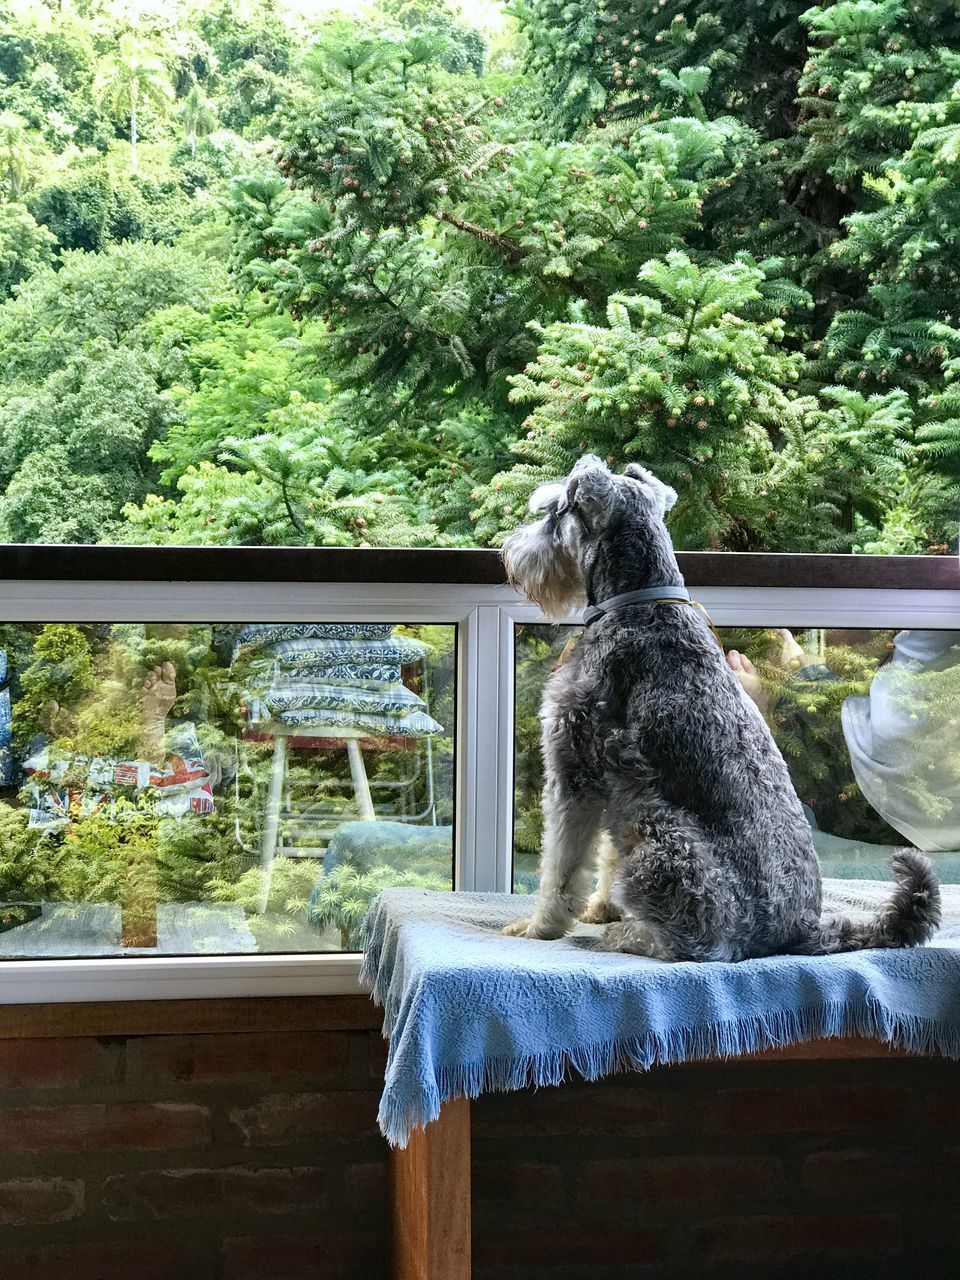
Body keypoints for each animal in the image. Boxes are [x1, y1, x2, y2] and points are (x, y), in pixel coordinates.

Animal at [499, 455, 942, 957]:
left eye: (556, 511)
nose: (508, 553)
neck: (637, 603)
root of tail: (799, 929)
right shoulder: (618, 784)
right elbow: (606, 855)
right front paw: (599, 908)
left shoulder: (573, 770)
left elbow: (561, 864)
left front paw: (539, 926)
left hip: (660, 834)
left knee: (700, 944)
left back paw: (631, 934)